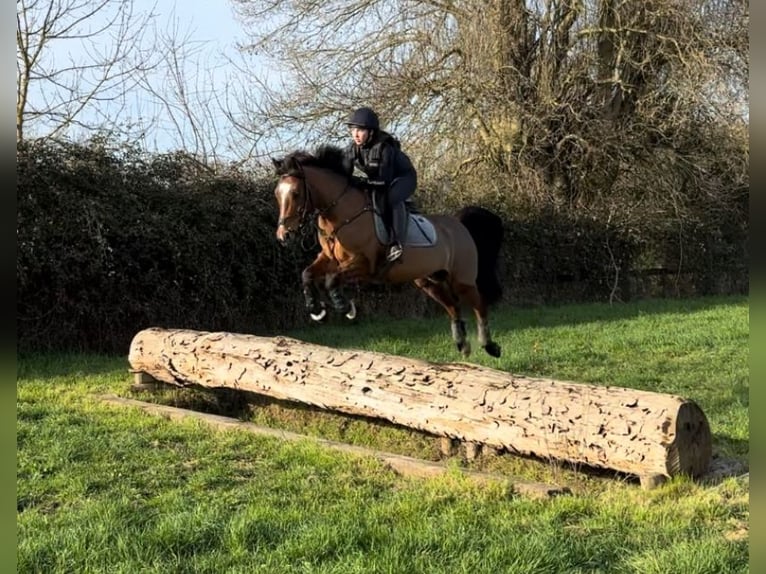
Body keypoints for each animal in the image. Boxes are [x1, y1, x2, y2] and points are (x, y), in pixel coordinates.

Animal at [272, 145, 508, 360]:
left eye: (295, 193)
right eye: (277, 194)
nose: (284, 236)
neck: (340, 217)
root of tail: (459, 225)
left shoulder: (362, 264)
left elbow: (331, 279)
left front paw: (345, 307)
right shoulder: (329, 259)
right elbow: (307, 274)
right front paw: (316, 309)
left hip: (462, 280)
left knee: (479, 305)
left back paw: (490, 346)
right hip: (428, 281)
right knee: (453, 307)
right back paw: (463, 345)